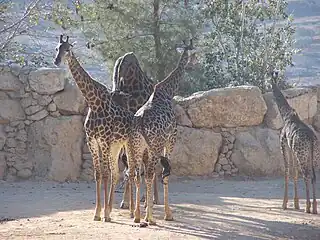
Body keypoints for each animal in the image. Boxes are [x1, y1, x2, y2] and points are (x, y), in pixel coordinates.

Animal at [53, 34, 134, 222]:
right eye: (56, 48)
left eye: (67, 49)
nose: (56, 61)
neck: (93, 102)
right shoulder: (92, 141)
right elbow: (98, 175)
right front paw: (98, 213)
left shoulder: (103, 141)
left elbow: (104, 174)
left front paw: (105, 213)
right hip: (115, 146)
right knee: (117, 172)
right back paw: (115, 209)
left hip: (126, 146)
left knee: (129, 172)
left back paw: (133, 210)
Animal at [125, 38, 196, 224]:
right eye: (195, 54)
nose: (194, 65)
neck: (168, 92)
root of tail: (140, 121)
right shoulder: (171, 138)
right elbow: (166, 174)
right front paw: (168, 214)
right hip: (154, 146)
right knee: (149, 174)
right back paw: (149, 218)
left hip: (136, 147)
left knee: (136, 174)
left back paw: (137, 216)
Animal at [270, 71, 318, 214]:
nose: (270, 81)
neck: (285, 115)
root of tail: (311, 139)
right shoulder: (292, 149)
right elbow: (294, 172)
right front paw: (296, 204)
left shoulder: (283, 144)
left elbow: (286, 171)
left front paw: (284, 204)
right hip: (311, 156)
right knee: (313, 176)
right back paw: (314, 207)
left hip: (302, 154)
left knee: (306, 175)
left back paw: (308, 207)